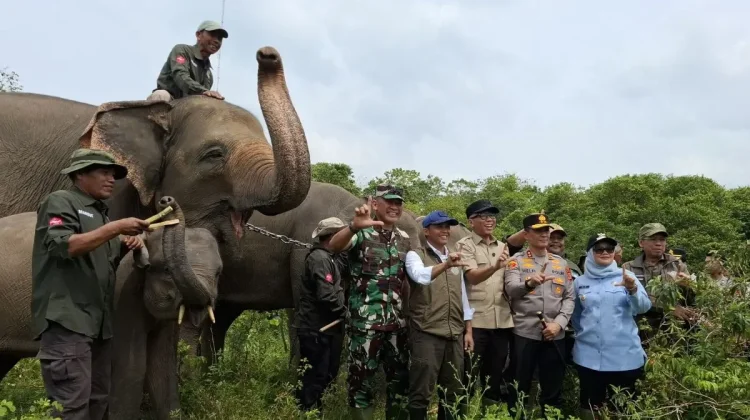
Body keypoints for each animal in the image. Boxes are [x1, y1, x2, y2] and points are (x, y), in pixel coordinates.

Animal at [0, 196, 222, 420]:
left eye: (218, 273)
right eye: (166, 270)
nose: (166, 200)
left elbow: (162, 365)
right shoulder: (121, 295)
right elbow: (132, 367)